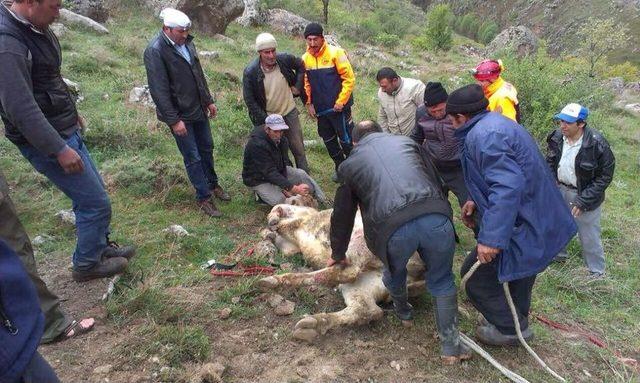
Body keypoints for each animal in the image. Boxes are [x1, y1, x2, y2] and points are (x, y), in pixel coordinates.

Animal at [258, 206, 428, 344]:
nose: (270, 220)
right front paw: (269, 232)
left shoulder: (300, 222)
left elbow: (284, 225)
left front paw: (273, 223)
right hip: (372, 280)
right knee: (368, 309)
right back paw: (311, 325)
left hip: (364, 241)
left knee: (348, 271)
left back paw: (272, 281)